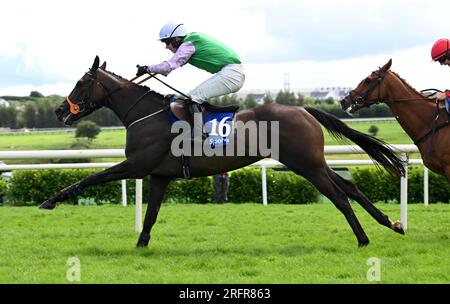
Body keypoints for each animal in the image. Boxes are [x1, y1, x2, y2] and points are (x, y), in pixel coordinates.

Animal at [40, 56, 406, 247]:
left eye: (81, 83)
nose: (59, 110)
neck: (146, 115)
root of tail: (304, 109)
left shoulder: (137, 165)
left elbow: (89, 178)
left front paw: (49, 201)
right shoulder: (158, 175)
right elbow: (151, 215)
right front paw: (140, 246)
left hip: (306, 165)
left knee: (340, 197)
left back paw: (363, 239)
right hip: (312, 162)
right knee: (351, 187)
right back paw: (391, 223)